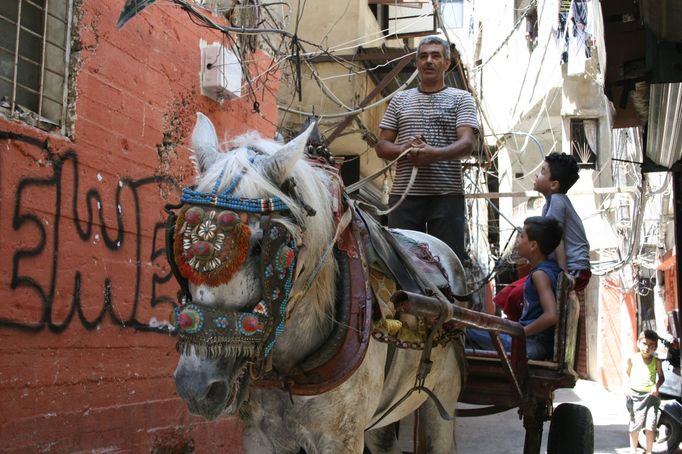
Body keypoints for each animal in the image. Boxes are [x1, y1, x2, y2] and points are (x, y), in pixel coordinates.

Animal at [173, 113, 464, 454]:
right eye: (181, 242)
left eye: (260, 247)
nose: (196, 388)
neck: (287, 363)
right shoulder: (258, 433)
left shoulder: (342, 439)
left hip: (441, 397)